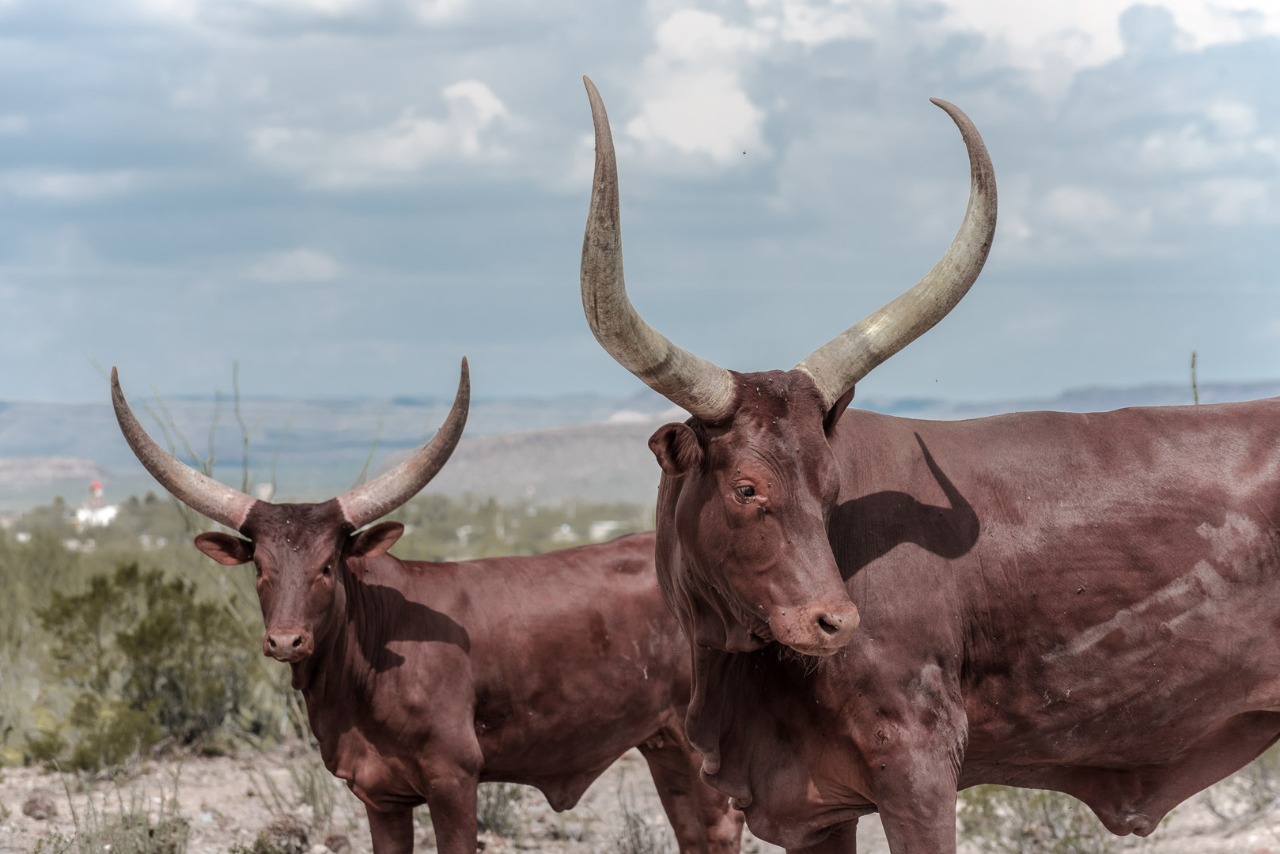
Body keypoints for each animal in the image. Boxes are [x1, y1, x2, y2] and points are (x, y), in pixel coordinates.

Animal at [110, 359, 743, 854]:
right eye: (260, 568)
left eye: (326, 566)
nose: (286, 640)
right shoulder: (380, 796)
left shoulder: (454, 781)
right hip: (663, 744)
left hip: (703, 746)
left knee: (721, 830)